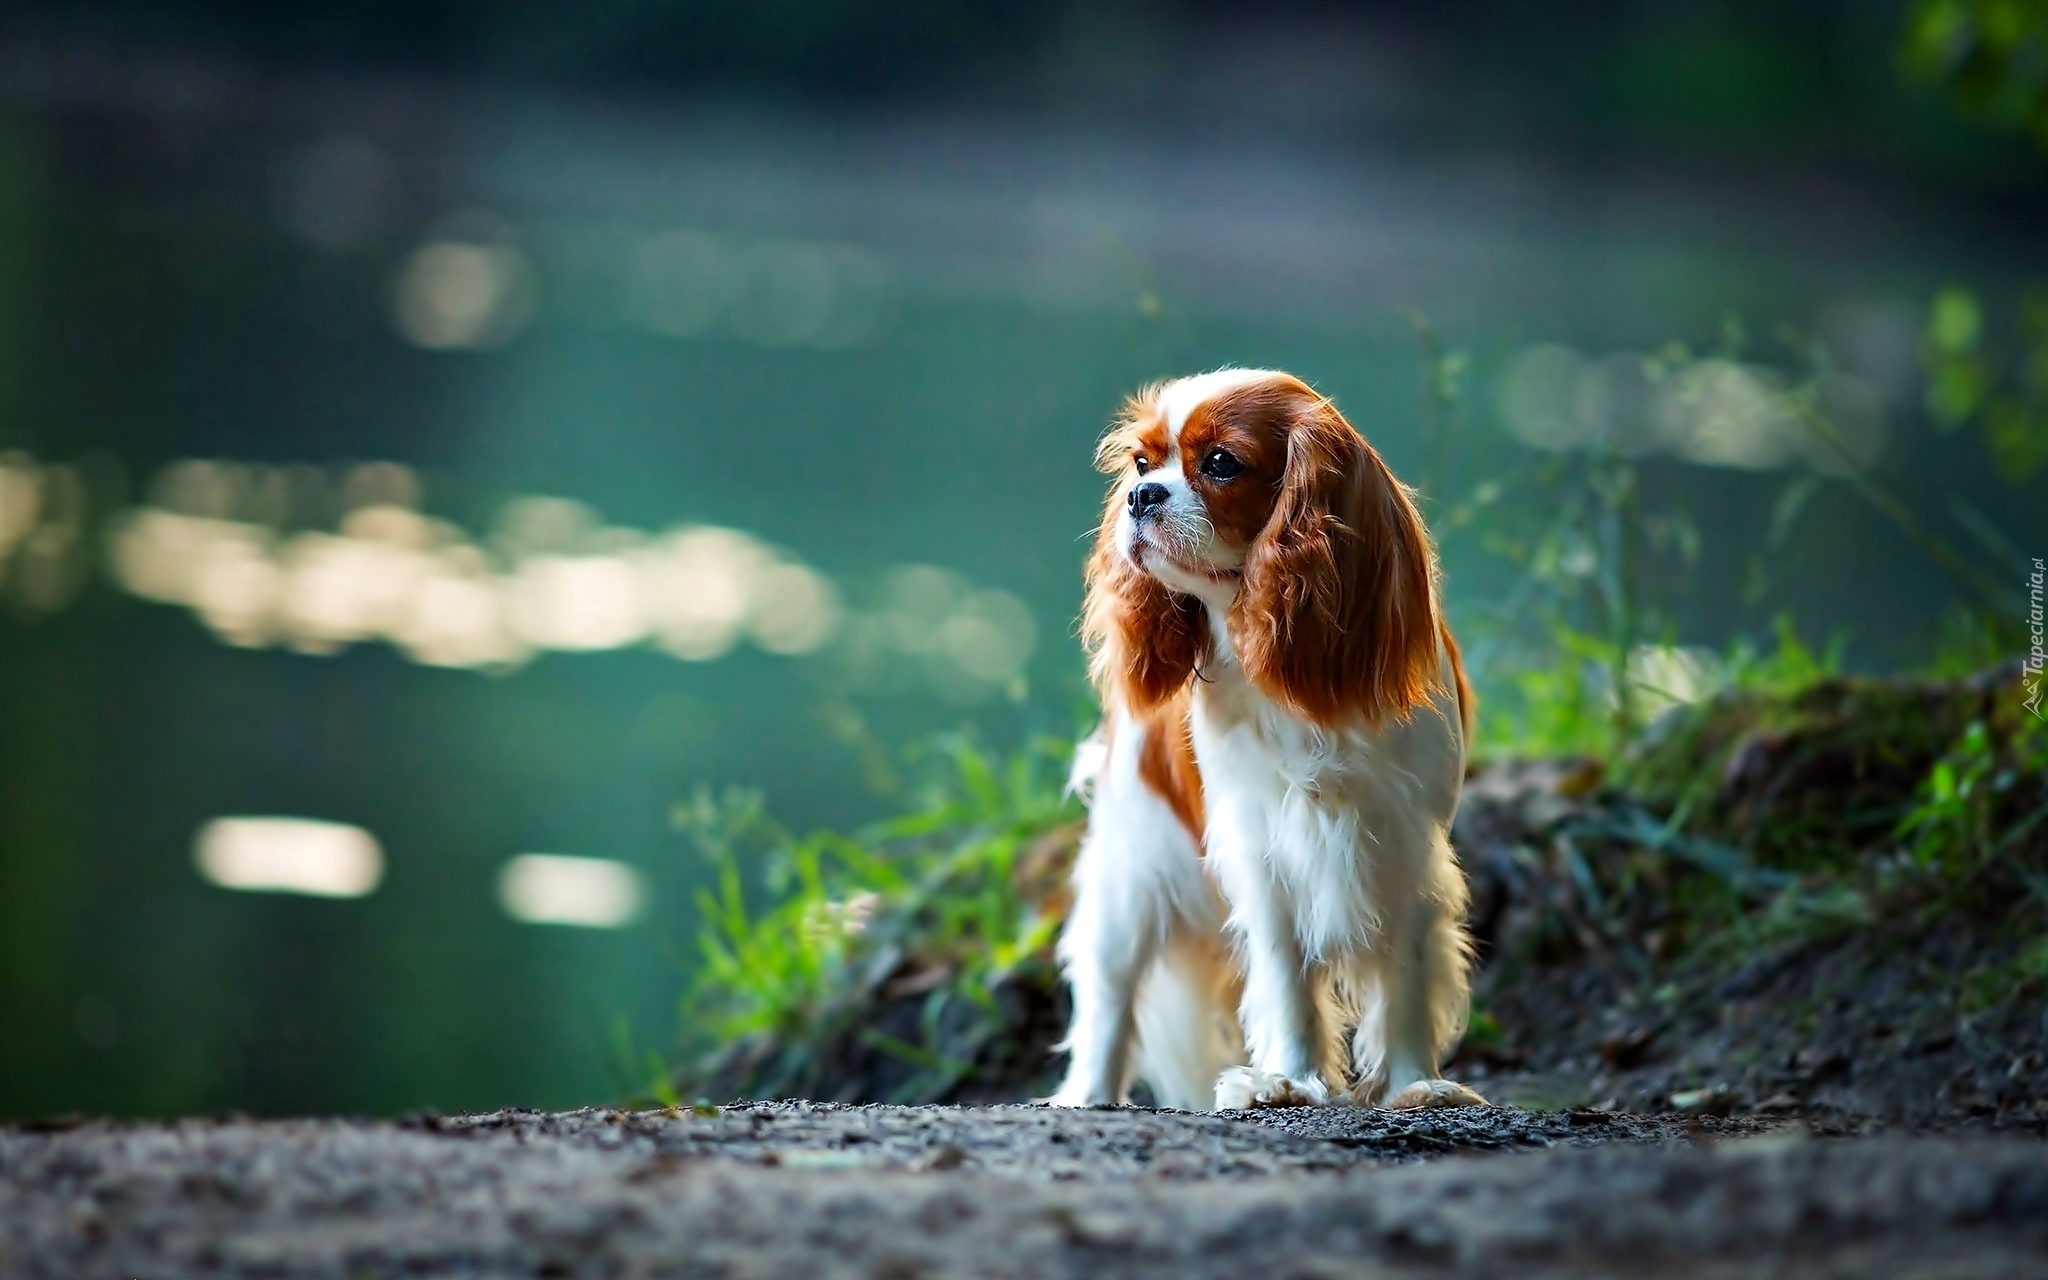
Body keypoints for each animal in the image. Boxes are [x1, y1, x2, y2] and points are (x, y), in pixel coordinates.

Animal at [1048, 368, 1482, 1105]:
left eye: (1223, 463)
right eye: (1142, 463)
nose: (1140, 495)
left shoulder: (1402, 844)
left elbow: (1406, 977)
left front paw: (1414, 1085)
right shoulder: (1264, 849)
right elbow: (1286, 976)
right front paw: (1289, 1080)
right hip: (1129, 872)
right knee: (1108, 996)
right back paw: (1089, 1098)